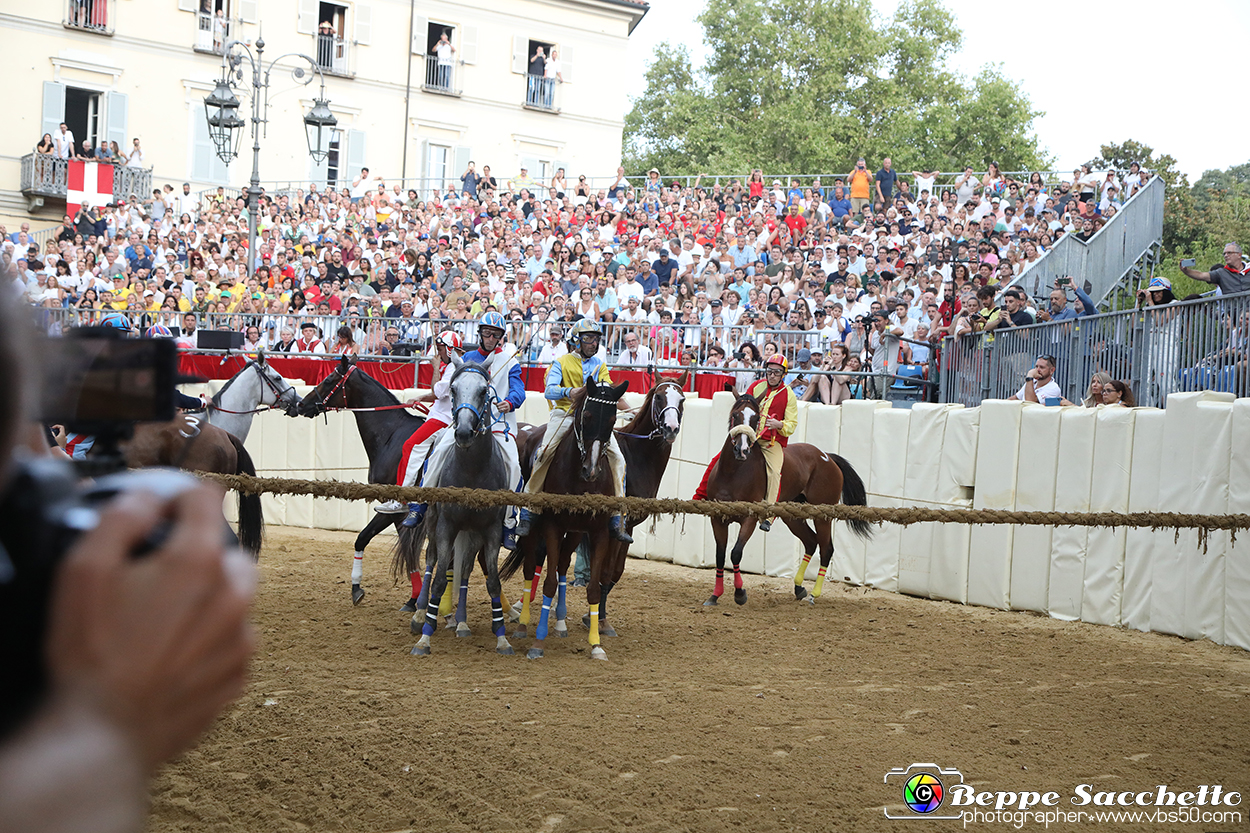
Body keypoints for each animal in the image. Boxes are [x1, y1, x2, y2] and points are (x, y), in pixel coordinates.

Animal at [385, 360, 512, 650]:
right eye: (453, 389)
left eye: (483, 391)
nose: (464, 432)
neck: (473, 471)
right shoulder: (446, 526)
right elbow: (441, 578)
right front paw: (424, 635)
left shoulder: (491, 531)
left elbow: (493, 582)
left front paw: (501, 636)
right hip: (434, 527)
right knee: (432, 562)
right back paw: (420, 614)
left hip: (472, 533)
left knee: (464, 571)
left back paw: (462, 622)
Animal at [500, 372, 630, 660]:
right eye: (588, 415)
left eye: (613, 420)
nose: (591, 470)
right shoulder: (552, 526)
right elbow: (546, 582)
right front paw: (538, 644)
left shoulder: (598, 533)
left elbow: (593, 589)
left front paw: (596, 646)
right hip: (537, 529)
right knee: (531, 568)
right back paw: (523, 626)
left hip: (575, 533)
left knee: (561, 565)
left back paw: (559, 623)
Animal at [705, 390, 870, 602]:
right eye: (735, 415)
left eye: (756, 418)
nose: (742, 450)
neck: (733, 472)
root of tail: (827, 457)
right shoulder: (717, 518)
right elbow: (719, 555)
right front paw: (715, 595)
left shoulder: (749, 519)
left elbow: (735, 553)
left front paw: (740, 593)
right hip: (792, 517)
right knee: (811, 541)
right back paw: (799, 587)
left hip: (822, 516)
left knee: (826, 548)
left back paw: (813, 595)